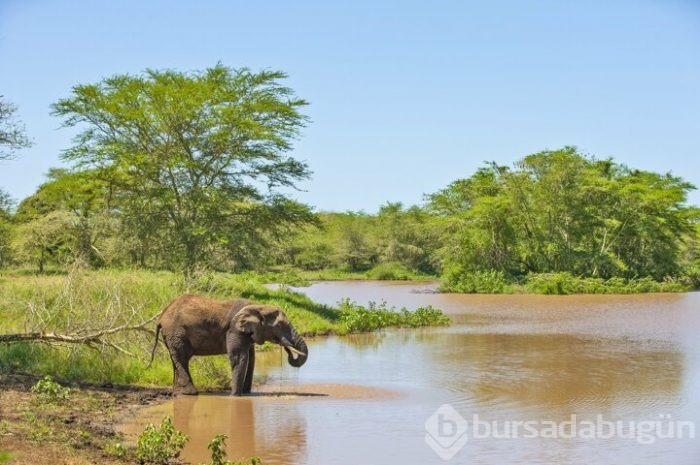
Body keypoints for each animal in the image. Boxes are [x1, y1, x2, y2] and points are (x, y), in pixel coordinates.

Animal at [149, 294, 308, 396]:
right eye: (280, 325)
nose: (288, 348)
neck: (257, 306)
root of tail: (162, 316)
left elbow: (251, 359)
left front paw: (246, 393)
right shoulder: (234, 329)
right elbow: (239, 358)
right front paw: (235, 396)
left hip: (172, 335)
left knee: (175, 359)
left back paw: (178, 393)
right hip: (176, 332)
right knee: (182, 358)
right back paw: (192, 393)